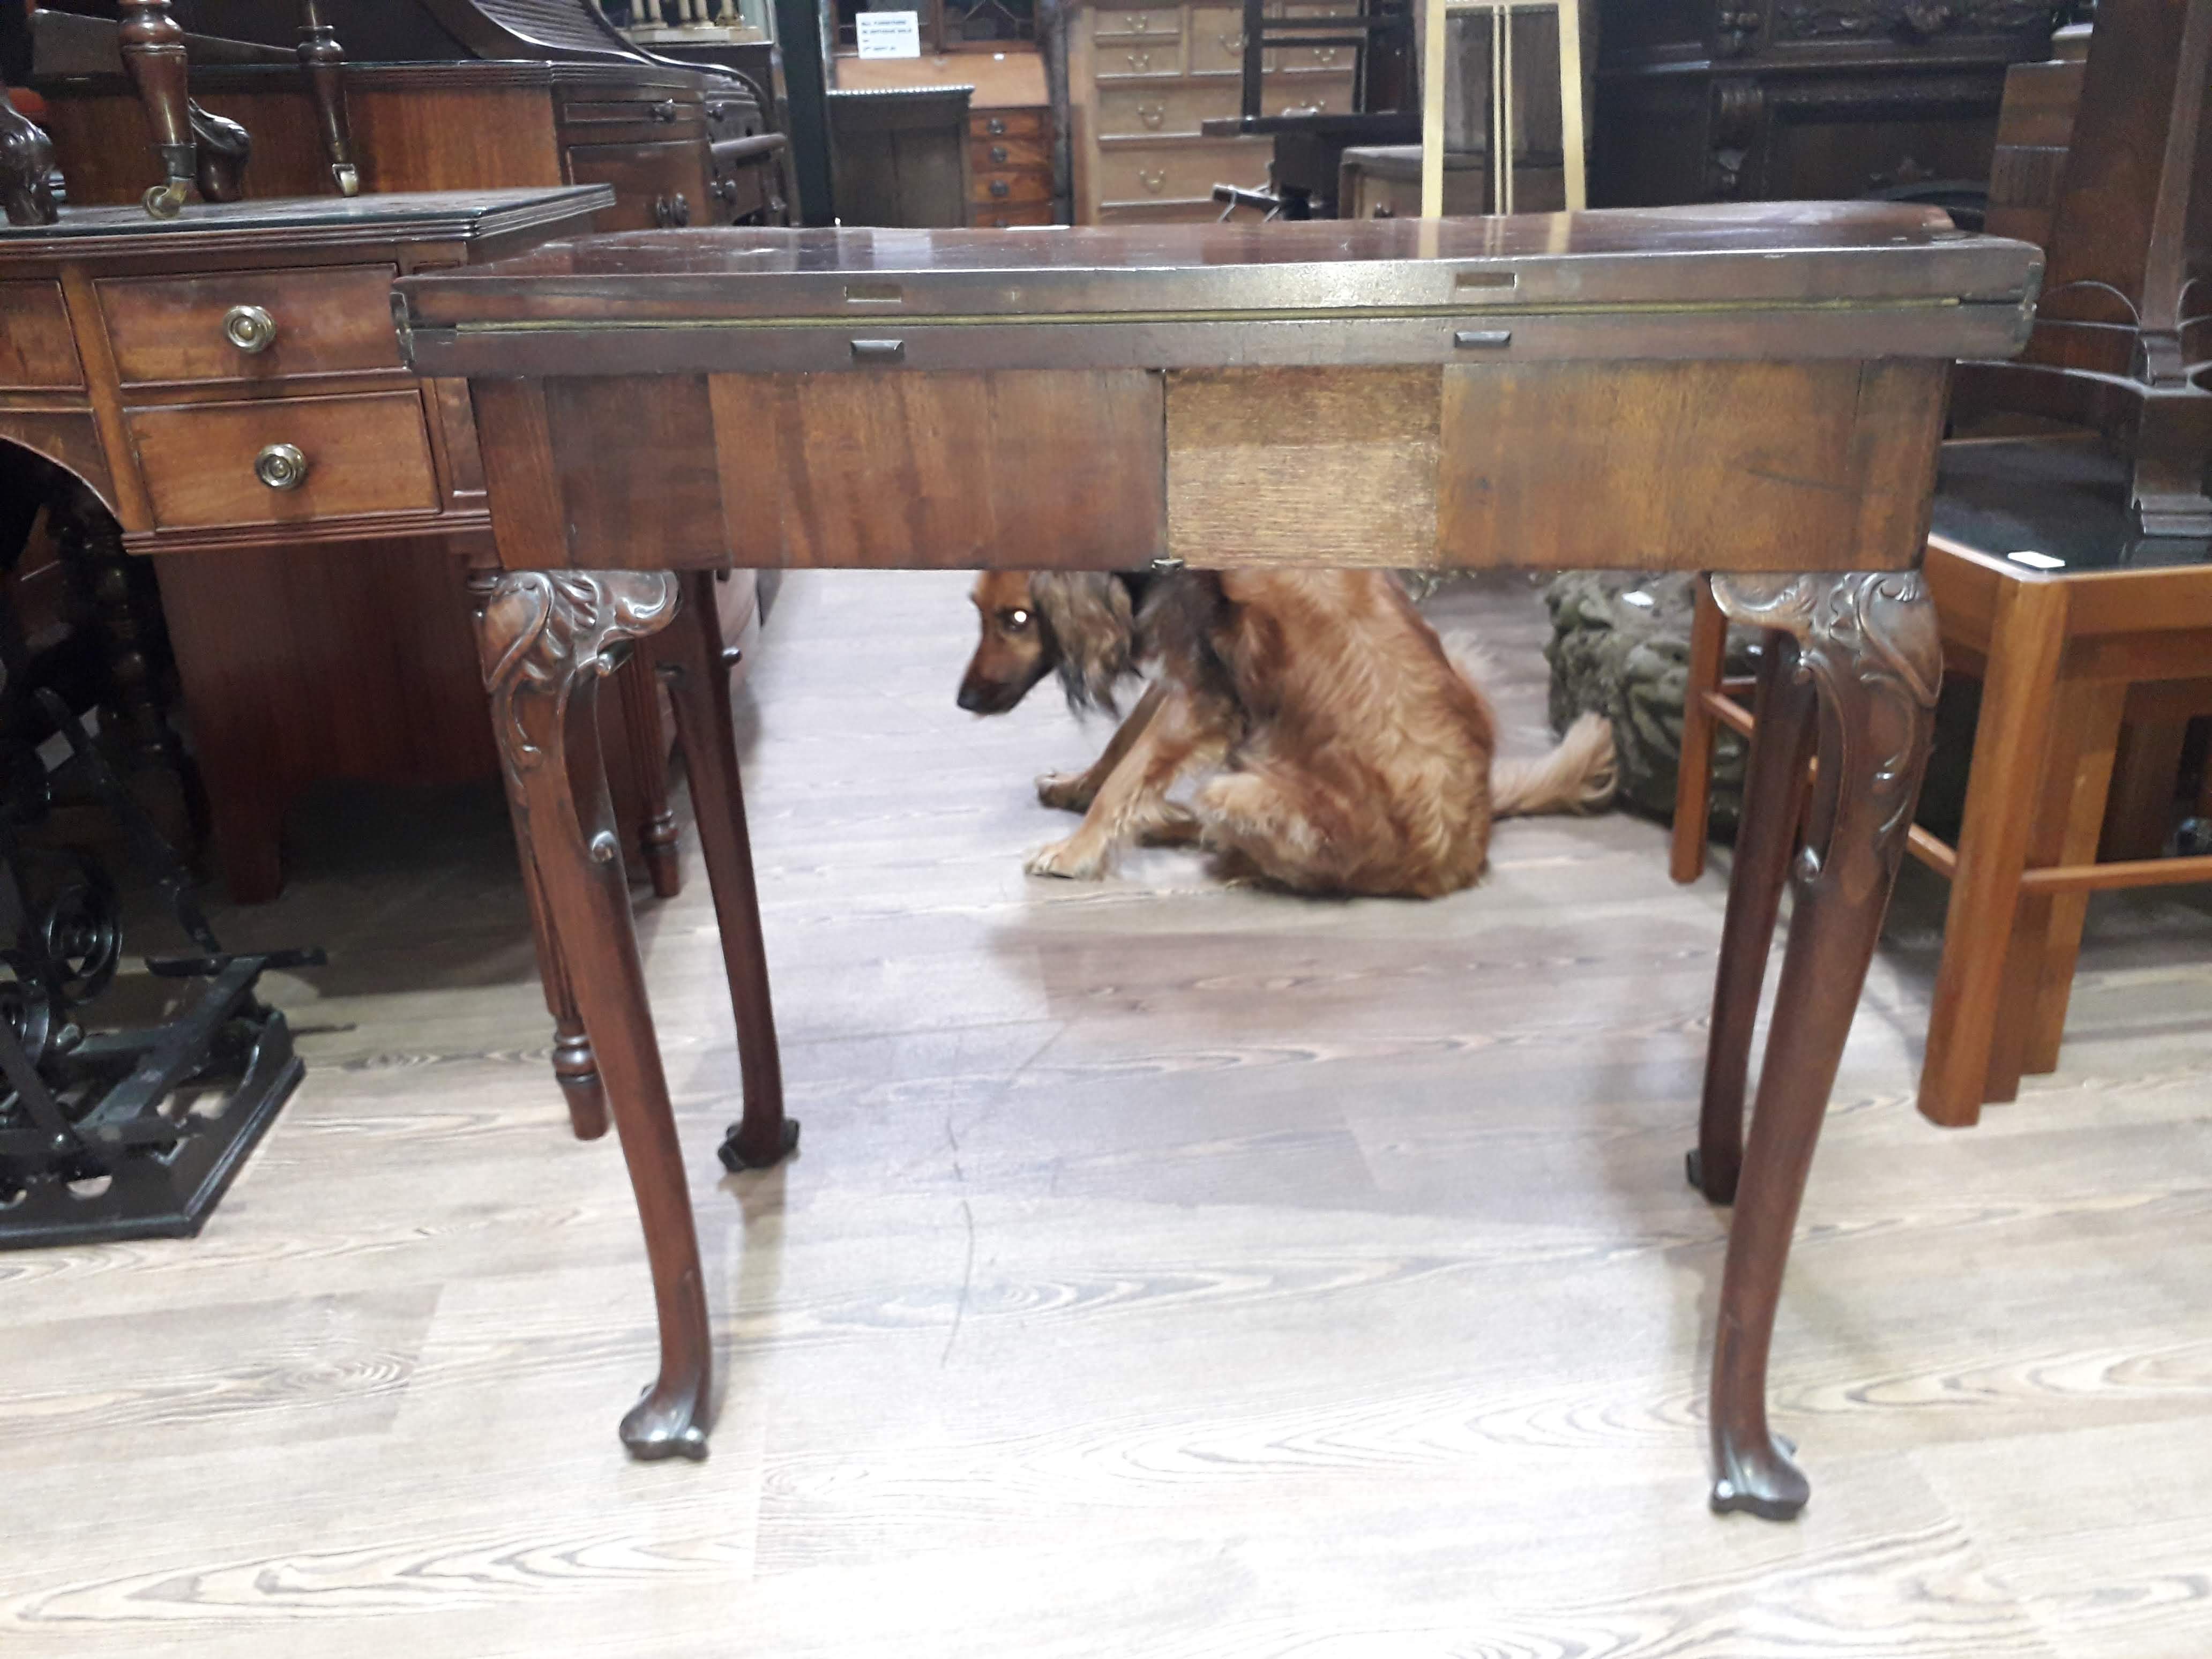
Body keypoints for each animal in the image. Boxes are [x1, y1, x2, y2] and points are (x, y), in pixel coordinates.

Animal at [960, 571, 1619, 898]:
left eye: (1017, 618)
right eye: (978, 609)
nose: (962, 702)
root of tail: (1467, 848)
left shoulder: (1203, 698)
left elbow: (1128, 774)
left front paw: (1074, 852)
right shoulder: (1195, 670)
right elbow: (1122, 744)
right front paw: (1077, 786)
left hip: (1244, 795)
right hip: (1456, 658)